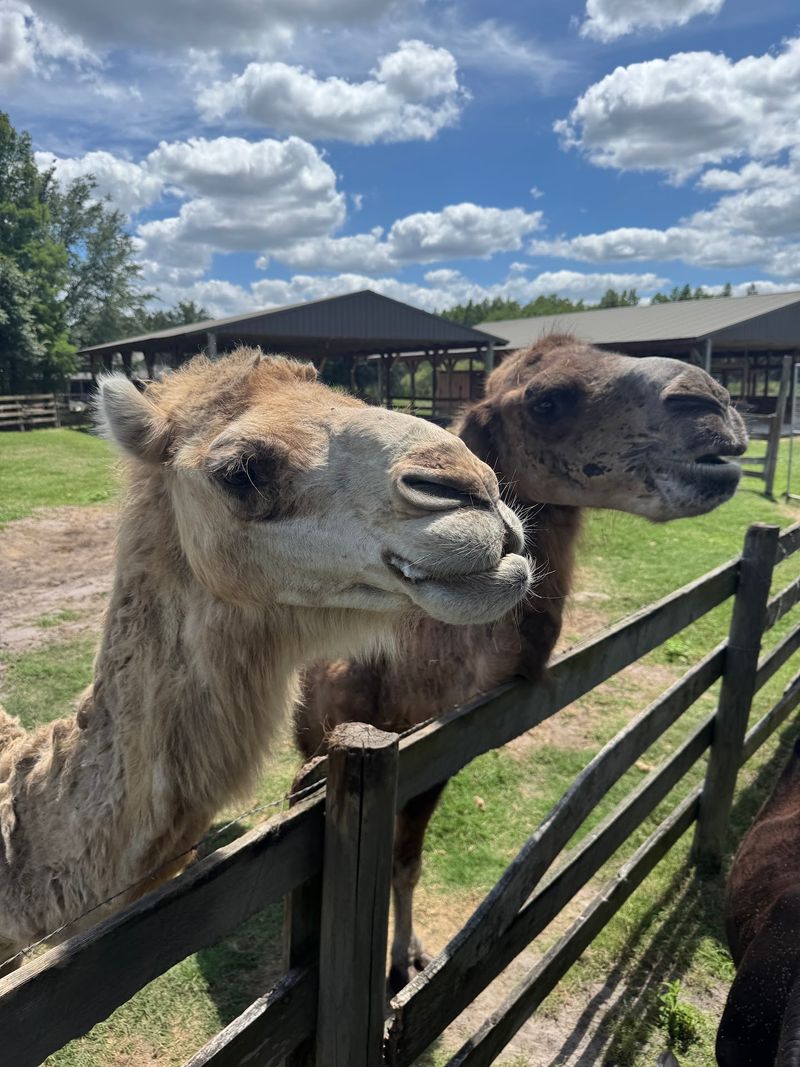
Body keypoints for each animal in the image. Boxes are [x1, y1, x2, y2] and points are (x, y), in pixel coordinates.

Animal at [295, 334, 749, 992]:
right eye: (547, 400)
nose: (713, 405)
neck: (405, 683)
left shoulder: (434, 768)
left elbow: (406, 863)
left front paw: (407, 958)